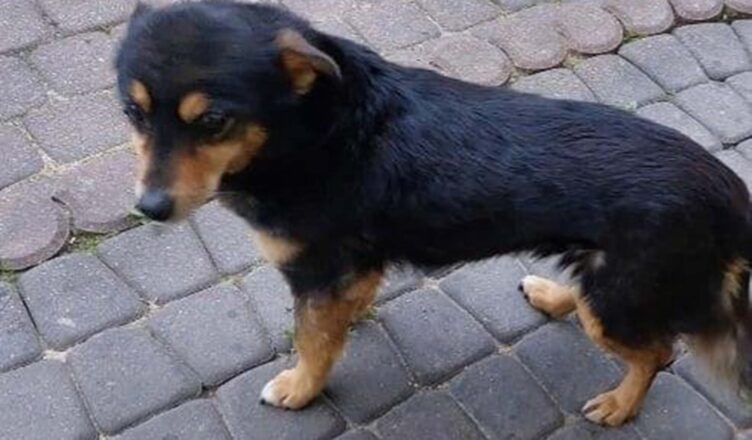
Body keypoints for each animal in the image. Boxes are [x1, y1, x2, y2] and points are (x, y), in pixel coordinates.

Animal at [115, 0, 752, 426]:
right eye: (132, 112)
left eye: (213, 121)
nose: (150, 209)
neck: (315, 132)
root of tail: (730, 195)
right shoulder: (350, 269)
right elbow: (340, 316)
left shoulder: (319, 274)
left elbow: (314, 344)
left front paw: (300, 389)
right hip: (611, 281)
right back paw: (554, 296)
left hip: (622, 296)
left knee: (658, 350)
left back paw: (620, 405)